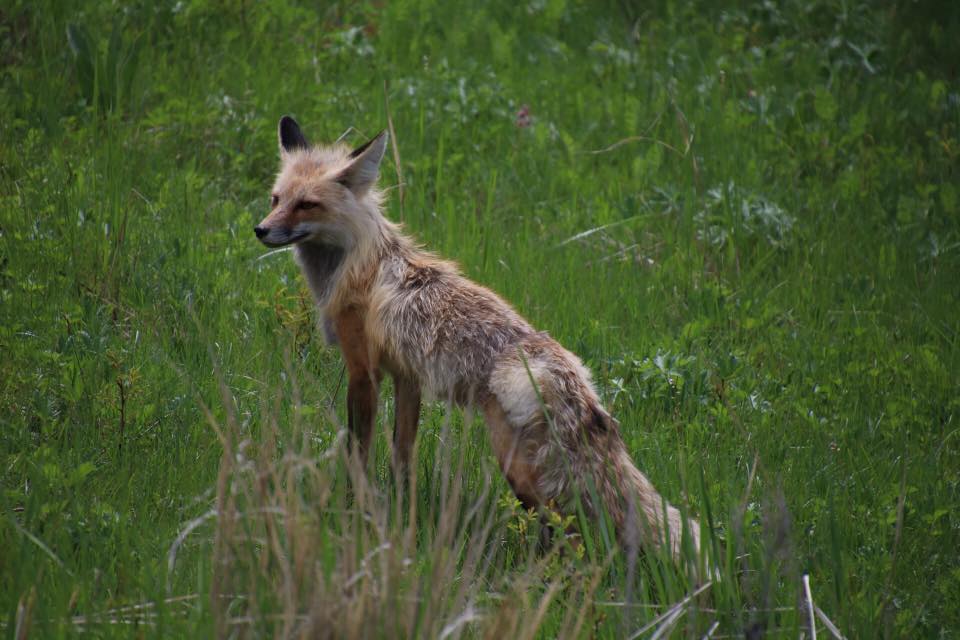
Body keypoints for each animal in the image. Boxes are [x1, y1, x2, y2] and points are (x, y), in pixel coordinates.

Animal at [255, 117, 704, 564]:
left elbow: (357, 455)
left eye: (306, 204)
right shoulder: (407, 377)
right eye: (276, 198)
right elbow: (403, 455)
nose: (260, 230)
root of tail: (573, 380)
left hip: (519, 470)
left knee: (573, 535)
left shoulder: (363, 371)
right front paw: (401, 509)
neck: (359, 261)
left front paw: (352, 510)